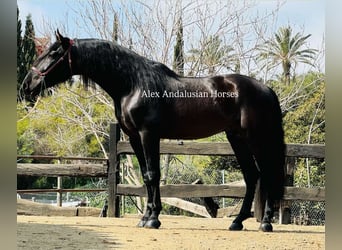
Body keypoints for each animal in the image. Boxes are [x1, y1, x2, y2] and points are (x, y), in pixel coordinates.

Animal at [22, 31, 286, 232]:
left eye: (53, 53)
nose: (27, 86)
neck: (132, 83)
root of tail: (266, 89)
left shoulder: (148, 134)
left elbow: (152, 174)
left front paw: (153, 219)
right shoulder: (134, 137)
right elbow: (147, 177)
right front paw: (146, 217)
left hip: (256, 138)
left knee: (267, 175)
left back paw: (265, 223)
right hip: (236, 138)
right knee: (252, 176)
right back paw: (237, 222)